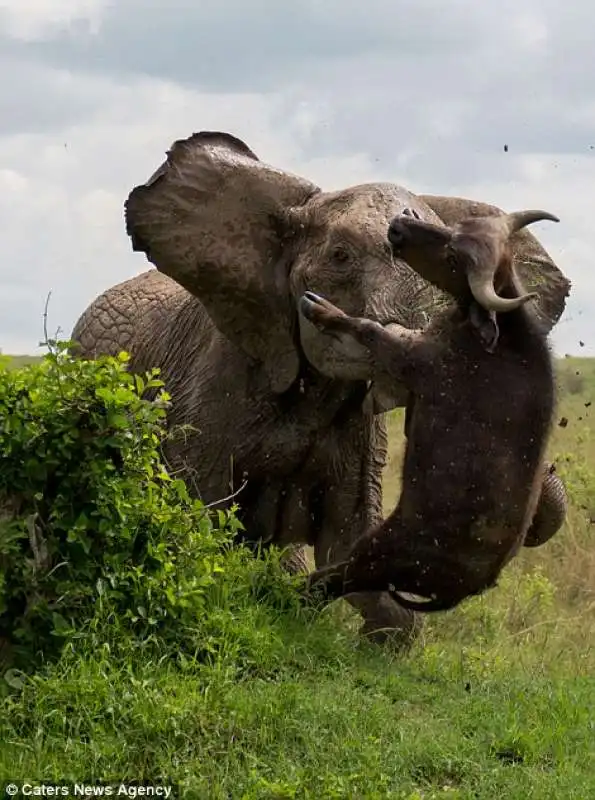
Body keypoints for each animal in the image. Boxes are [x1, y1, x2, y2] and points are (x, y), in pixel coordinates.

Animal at [302, 206, 568, 612]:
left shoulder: (413, 361)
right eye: (454, 228)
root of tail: (471, 587)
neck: (496, 339)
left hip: (376, 553)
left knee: (330, 580)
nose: (399, 226)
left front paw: (320, 308)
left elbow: (370, 329)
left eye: (453, 259)